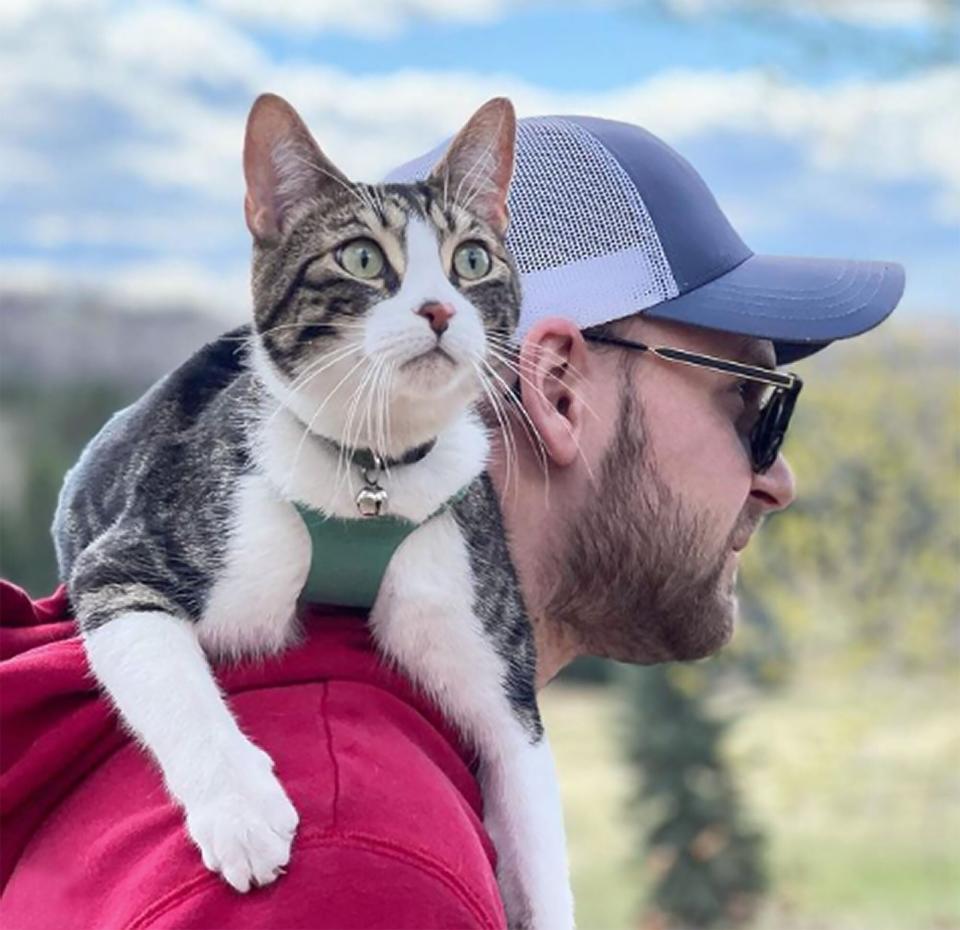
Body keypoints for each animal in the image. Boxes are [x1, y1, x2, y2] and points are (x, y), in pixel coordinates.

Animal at [52, 90, 572, 924]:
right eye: (361, 258)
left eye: (472, 259)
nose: (439, 310)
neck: (371, 476)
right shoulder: (128, 557)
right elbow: (167, 673)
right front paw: (241, 809)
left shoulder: (492, 652)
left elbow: (527, 796)